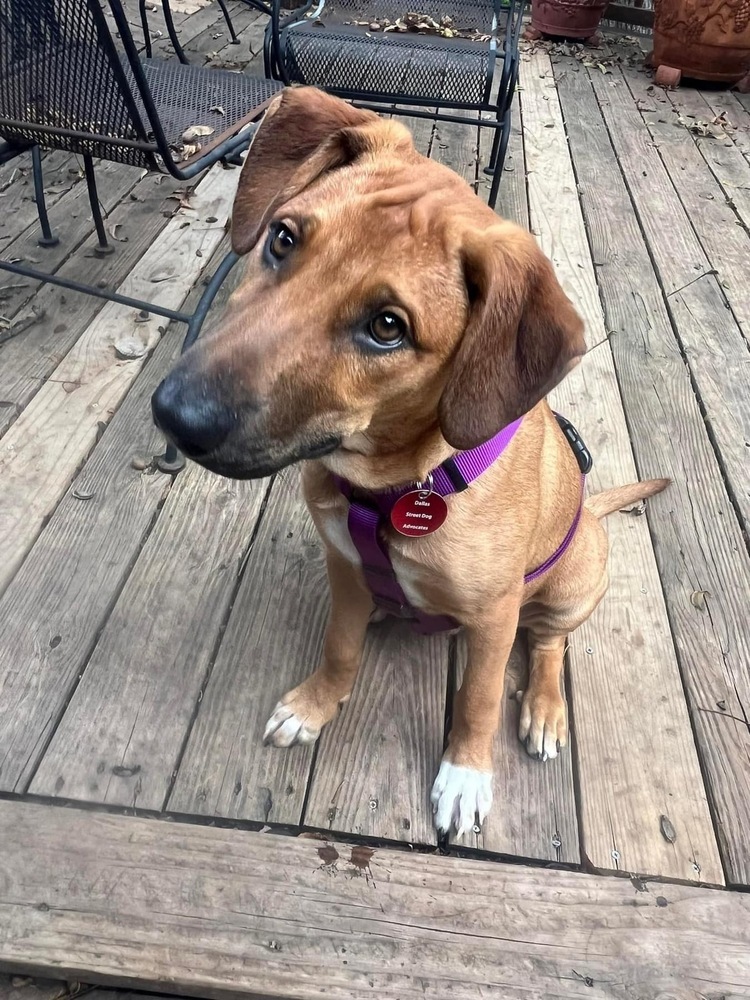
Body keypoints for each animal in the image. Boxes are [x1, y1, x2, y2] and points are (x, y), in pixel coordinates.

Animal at [153, 84, 668, 836]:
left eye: (388, 327)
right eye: (283, 238)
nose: (173, 415)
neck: (399, 486)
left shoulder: (493, 617)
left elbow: (479, 699)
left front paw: (466, 776)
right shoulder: (343, 565)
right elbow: (339, 646)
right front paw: (316, 704)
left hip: (574, 584)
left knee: (549, 644)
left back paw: (544, 709)